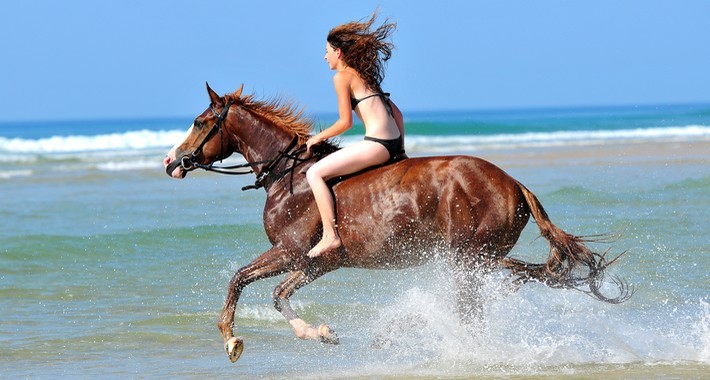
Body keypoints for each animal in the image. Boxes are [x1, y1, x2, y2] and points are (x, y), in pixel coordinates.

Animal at [164, 82, 632, 362]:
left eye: (201, 123)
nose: (171, 161)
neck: (288, 177)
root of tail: (514, 183)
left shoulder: (291, 252)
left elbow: (240, 279)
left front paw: (231, 339)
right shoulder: (315, 263)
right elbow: (278, 294)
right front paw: (322, 333)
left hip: (465, 258)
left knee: (473, 309)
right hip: (476, 259)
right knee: (498, 288)